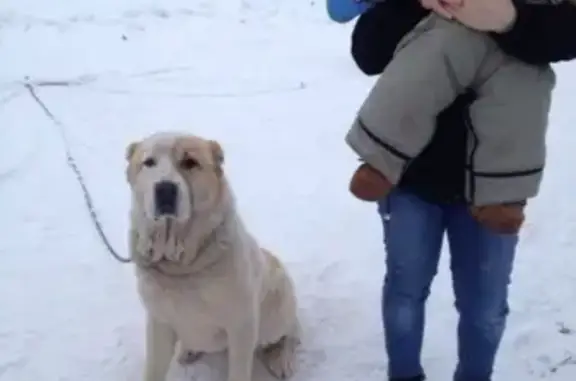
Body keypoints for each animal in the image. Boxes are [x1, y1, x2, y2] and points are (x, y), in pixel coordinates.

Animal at [126, 131, 302, 380]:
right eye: (149, 162)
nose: (165, 188)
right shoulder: (158, 321)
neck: (182, 266)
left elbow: (238, 372)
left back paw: (282, 358)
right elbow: (153, 368)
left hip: (275, 313)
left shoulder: (241, 325)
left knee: (291, 331)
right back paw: (189, 350)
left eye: (190, 162)